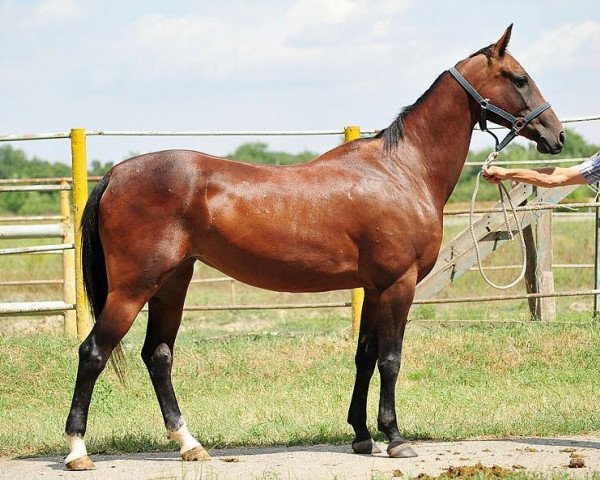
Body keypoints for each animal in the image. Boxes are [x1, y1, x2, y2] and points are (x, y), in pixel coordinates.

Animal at [64, 24, 564, 470]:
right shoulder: (398, 285)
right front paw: (395, 437)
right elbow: (391, 359)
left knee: (159, 356)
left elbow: (365, 357)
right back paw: (77, 451)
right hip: (133, 289)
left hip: (172, 284)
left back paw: (190, 444)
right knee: (93, 353)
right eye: (519, 77)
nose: (555, 134)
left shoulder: (374, 289)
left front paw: (361, 435)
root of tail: (117, 173)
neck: (402, 169)